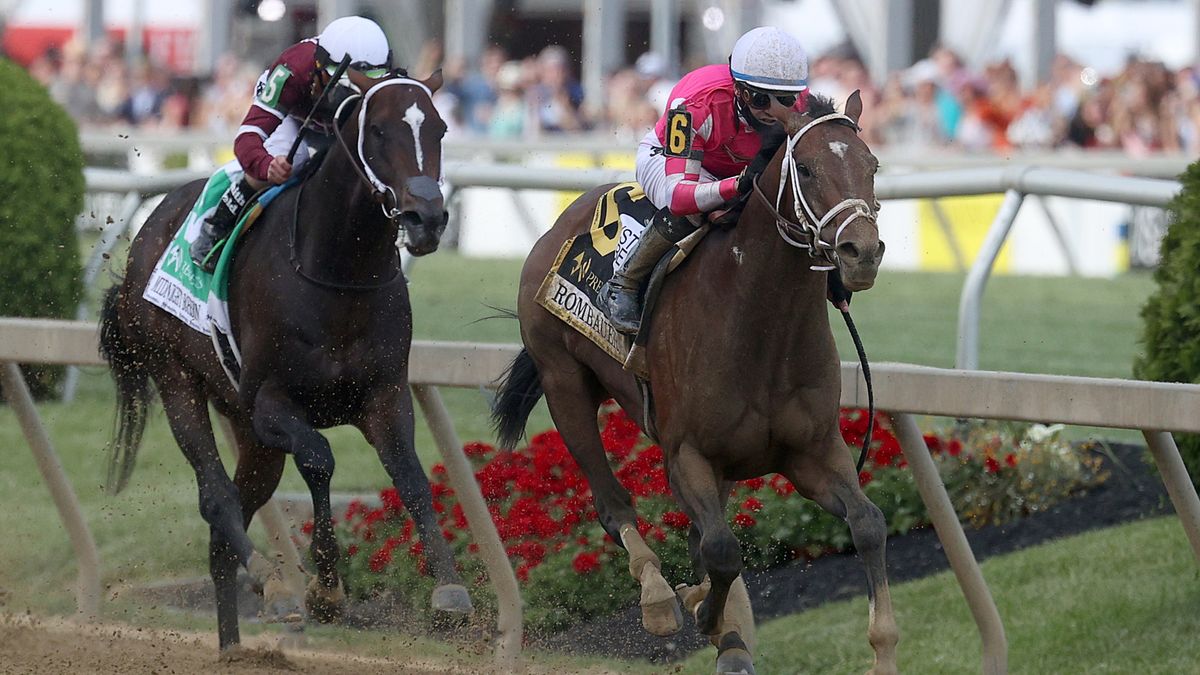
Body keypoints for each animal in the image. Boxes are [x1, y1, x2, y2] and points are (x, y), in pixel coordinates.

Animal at [96, 69, 470, 653]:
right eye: (379, 130)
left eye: (440, 128)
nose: (427, 218)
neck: (338, 276)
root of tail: (148, 230)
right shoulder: (272, 401)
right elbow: (318, 457)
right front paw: (326, 588)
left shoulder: (385, 395)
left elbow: (409, 475)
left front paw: (449, 590)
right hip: (177, 379)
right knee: (216, 496)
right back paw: (270, 579)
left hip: (249, 432)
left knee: (225, 534)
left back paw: (234, 647)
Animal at [492, 93, 897, 672]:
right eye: (808, 168)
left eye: (872, 165)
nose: (860, 253)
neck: (762, 328)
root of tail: (560, 223)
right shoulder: (685, 454)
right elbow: (722, 549)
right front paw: (706, 614)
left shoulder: (812, 450)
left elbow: (868, 523)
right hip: (563, 381)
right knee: (614, 504)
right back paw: (660, 598)